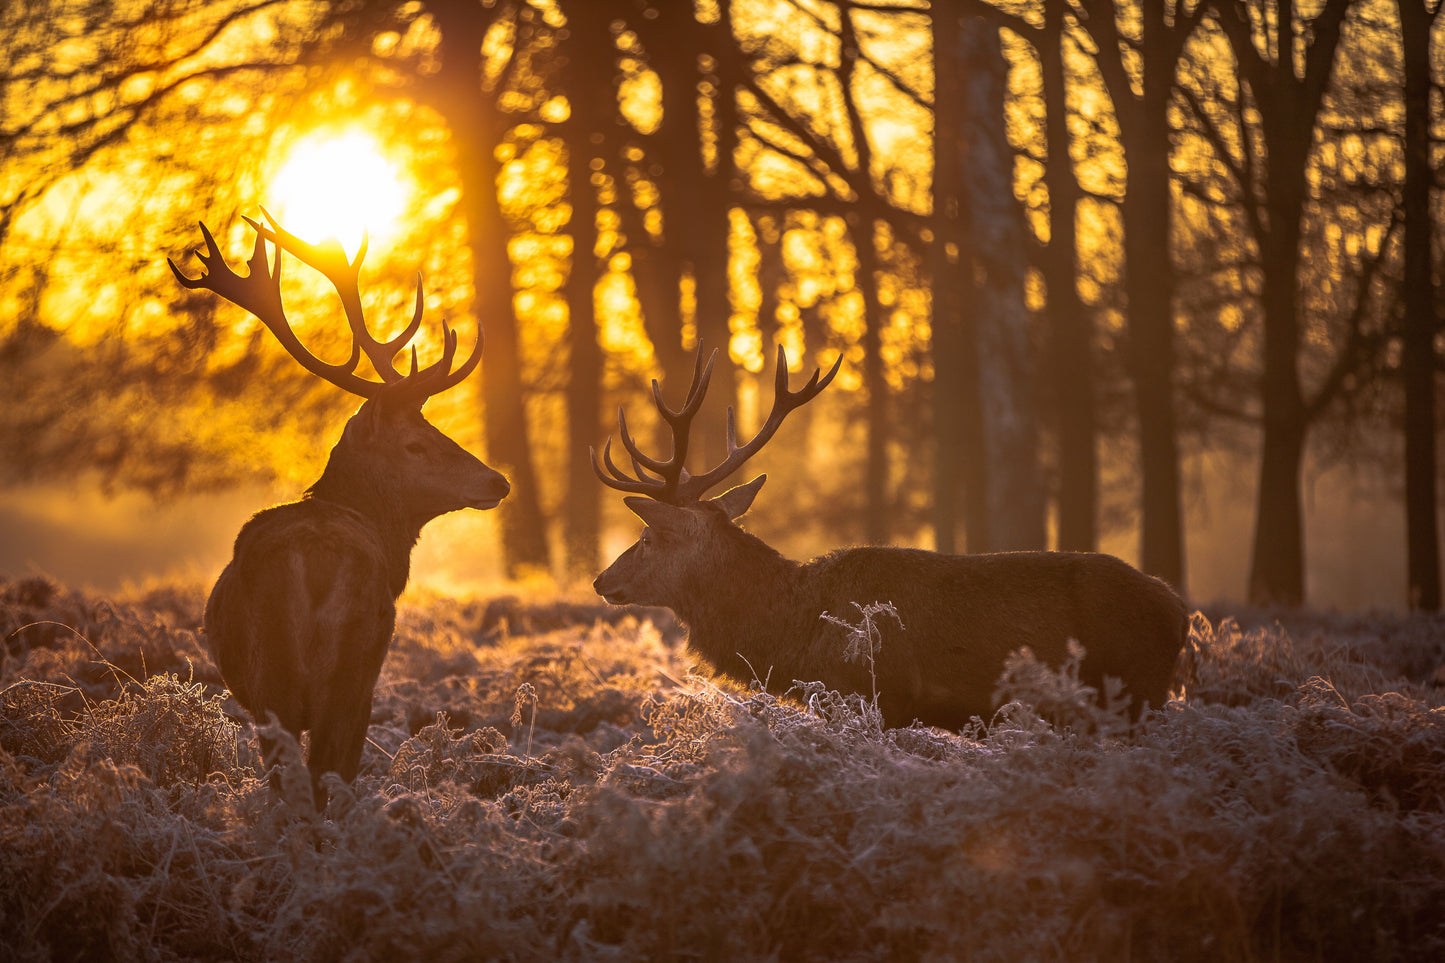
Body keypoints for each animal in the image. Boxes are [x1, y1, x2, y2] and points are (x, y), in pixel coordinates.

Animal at [591, 346, 1188, 731]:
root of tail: (1179, 610)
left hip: (1138, 689)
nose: (601, 580)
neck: (794, 635)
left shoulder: (876, 696)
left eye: (648, 537)